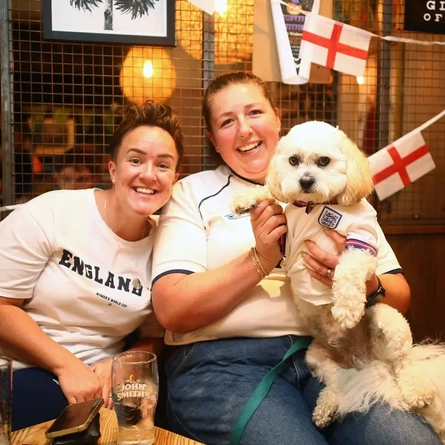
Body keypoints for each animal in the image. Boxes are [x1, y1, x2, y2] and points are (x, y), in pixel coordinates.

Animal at [231, 119, 444, 438]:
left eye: (324, 161)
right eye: (293, 161)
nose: (305, 181)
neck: (316, 207)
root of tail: (366, 361)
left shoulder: (360, 244)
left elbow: (347, 270)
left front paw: (346, 309)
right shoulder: (286, 233)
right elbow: (269, 191)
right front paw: (245, 199)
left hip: (392, 326)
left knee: (403, 361)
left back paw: (416, 391)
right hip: (317, 358)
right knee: (337, 382)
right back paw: (326, 407)